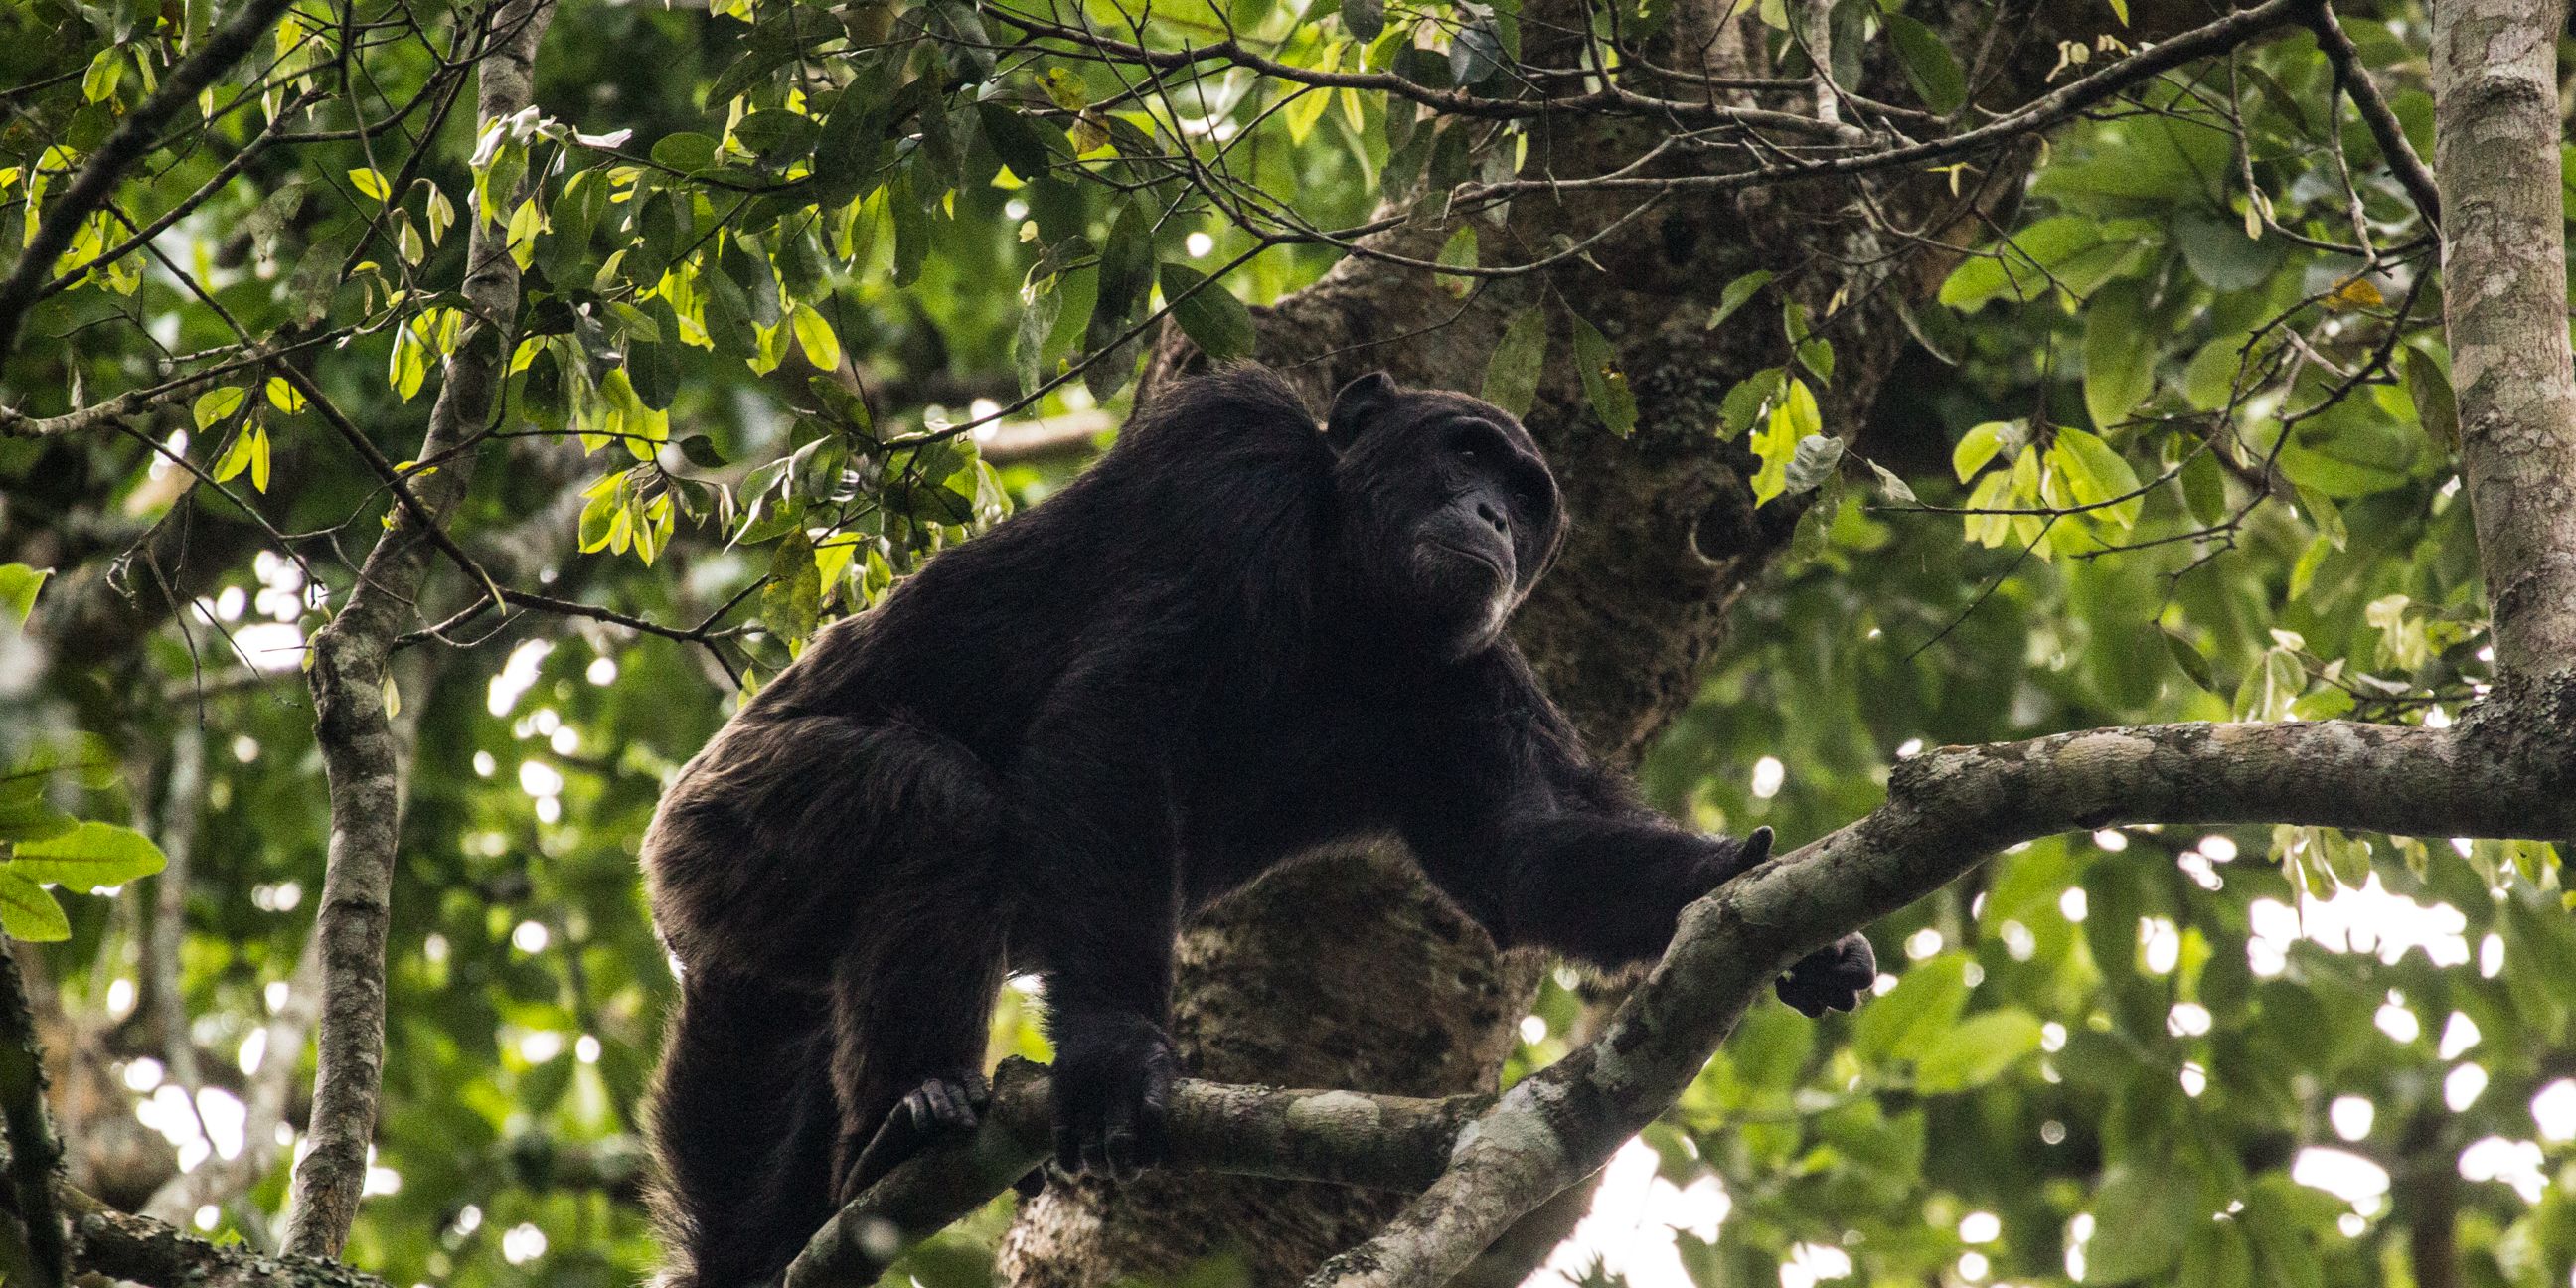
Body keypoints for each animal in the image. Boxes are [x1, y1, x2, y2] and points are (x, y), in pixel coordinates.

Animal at [638, 366, 1876, 1286]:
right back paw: (911, 1118)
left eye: (1527, 499)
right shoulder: (1230, 462)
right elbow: (1118, 715)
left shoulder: (1472, 678)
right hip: (724, 828)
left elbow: (1523, 857)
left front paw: (1770, 913)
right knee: (940, 809)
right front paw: (1116, 1049)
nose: (1491, 515)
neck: (1347, 582)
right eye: (1467, 455)